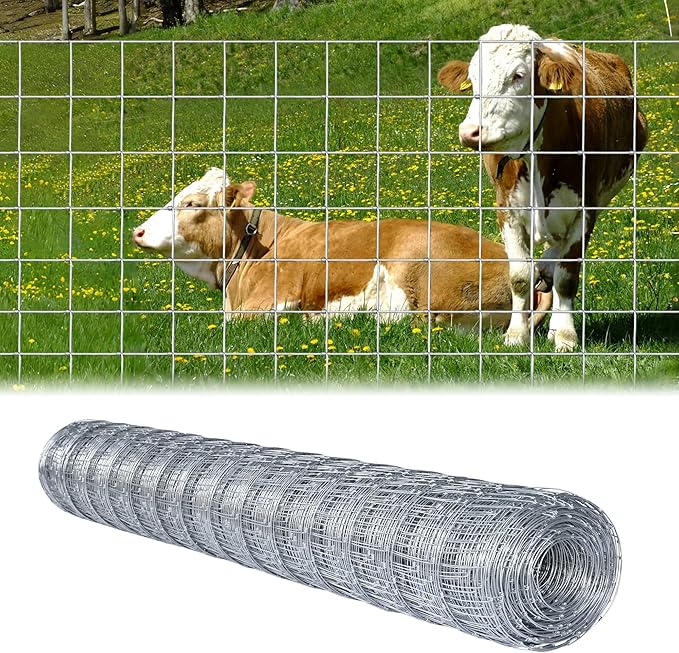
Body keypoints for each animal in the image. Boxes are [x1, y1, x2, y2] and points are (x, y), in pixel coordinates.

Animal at [438, 24, 647, 351]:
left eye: (518, 75)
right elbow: (520, 276)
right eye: (472, 79)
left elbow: (566, 276)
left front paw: (565, 336)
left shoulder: (585, 210)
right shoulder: (507, 209)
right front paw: (516, 333)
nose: (470, 132)